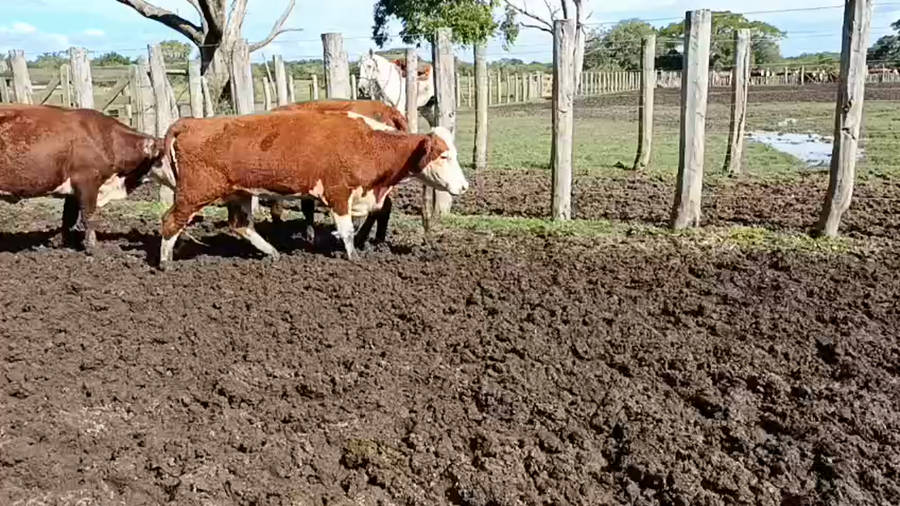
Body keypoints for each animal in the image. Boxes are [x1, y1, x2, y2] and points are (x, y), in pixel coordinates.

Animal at [0, 104, 164, 254]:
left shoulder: (73, 190)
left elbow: (68, 217)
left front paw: (61, 242)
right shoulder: (87, 182)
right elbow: (88, 215)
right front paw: (92, 247)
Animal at [156, 110, 468, 268]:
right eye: (443, 156)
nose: (464, 186)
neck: (367, 143)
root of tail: (191, 123)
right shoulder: (338, 193)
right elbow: (347, 232)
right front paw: (355, 258)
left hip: (239, 192)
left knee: (240, 225)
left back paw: (273, 253)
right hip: (194, 192)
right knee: (170, 221)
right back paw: (166, 263)